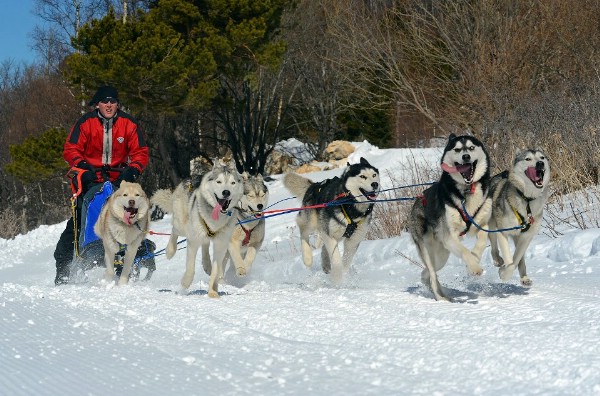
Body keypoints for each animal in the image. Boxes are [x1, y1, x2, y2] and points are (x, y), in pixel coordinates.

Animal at [151, 161, 243, 296]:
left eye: (233, 183)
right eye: (219, 181)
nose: (226, 192)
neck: (215, 218)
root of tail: (190, 177)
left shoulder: (221, 245)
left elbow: (216, 271)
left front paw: (212, 292)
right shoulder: (193, 241)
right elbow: (190, 268)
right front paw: (184, 285)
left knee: (205, 244)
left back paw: (207, 264)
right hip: (183, 226)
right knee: (174, 230)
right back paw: (170, 251)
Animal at [284, 156, 380, 284]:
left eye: (374, 175)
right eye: (362, 176)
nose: (375, 184)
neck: (351, 205)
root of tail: (314, 186)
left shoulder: (353, 240)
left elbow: (346, 261)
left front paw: (343, 276)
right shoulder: (329, 234)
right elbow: (337, 259)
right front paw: (337, 280)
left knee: (324, 247)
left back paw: (325, 264)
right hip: (311, 222)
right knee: (303, 229)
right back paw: (307, 257)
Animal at [408, 135, 492, 302]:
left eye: (471, 148)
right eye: (457, 149)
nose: (466, 157)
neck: (467, 190)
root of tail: (418, 200)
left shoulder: (481, 224)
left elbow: (481, 241)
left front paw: (475, 257)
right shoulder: (449, 236)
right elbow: (465, 252)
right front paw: (474, 267)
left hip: (441, 256)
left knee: (426, 273)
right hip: (429, 250)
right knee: (432, 274)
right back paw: (441, 298)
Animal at [490, 148, 552, 284]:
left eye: (542, 157)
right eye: (528, 159)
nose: (540, 163)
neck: (527, 199)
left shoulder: (526, 237)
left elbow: (515, 261)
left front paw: (505, 271)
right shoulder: (502, 231)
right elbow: (509, 260)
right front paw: (503, 273)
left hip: (518, 237)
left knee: (520, 259)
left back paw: (524, 278)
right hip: (489, 225)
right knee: (493, 246)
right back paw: (498, 260)